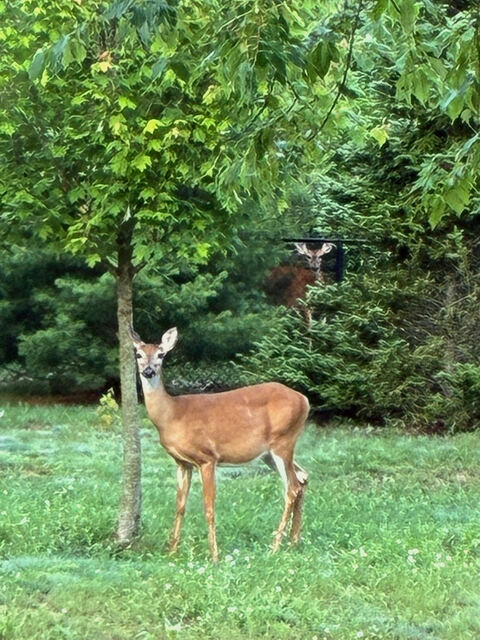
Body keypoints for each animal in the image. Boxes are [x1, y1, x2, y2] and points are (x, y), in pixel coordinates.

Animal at [130, 326, 309, 562]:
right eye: (138, 354)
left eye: (161, 355)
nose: (149, 371)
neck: (172, 415)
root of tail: (304, 400)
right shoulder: (182, 463)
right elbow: (180, 506)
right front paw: (171, 552)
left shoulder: (207, 457)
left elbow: (209, 507)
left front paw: (214, 556)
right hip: (269, 452)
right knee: (302, 477)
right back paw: (293, 541)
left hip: (283, 441)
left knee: (292, 487)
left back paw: (275, 546)